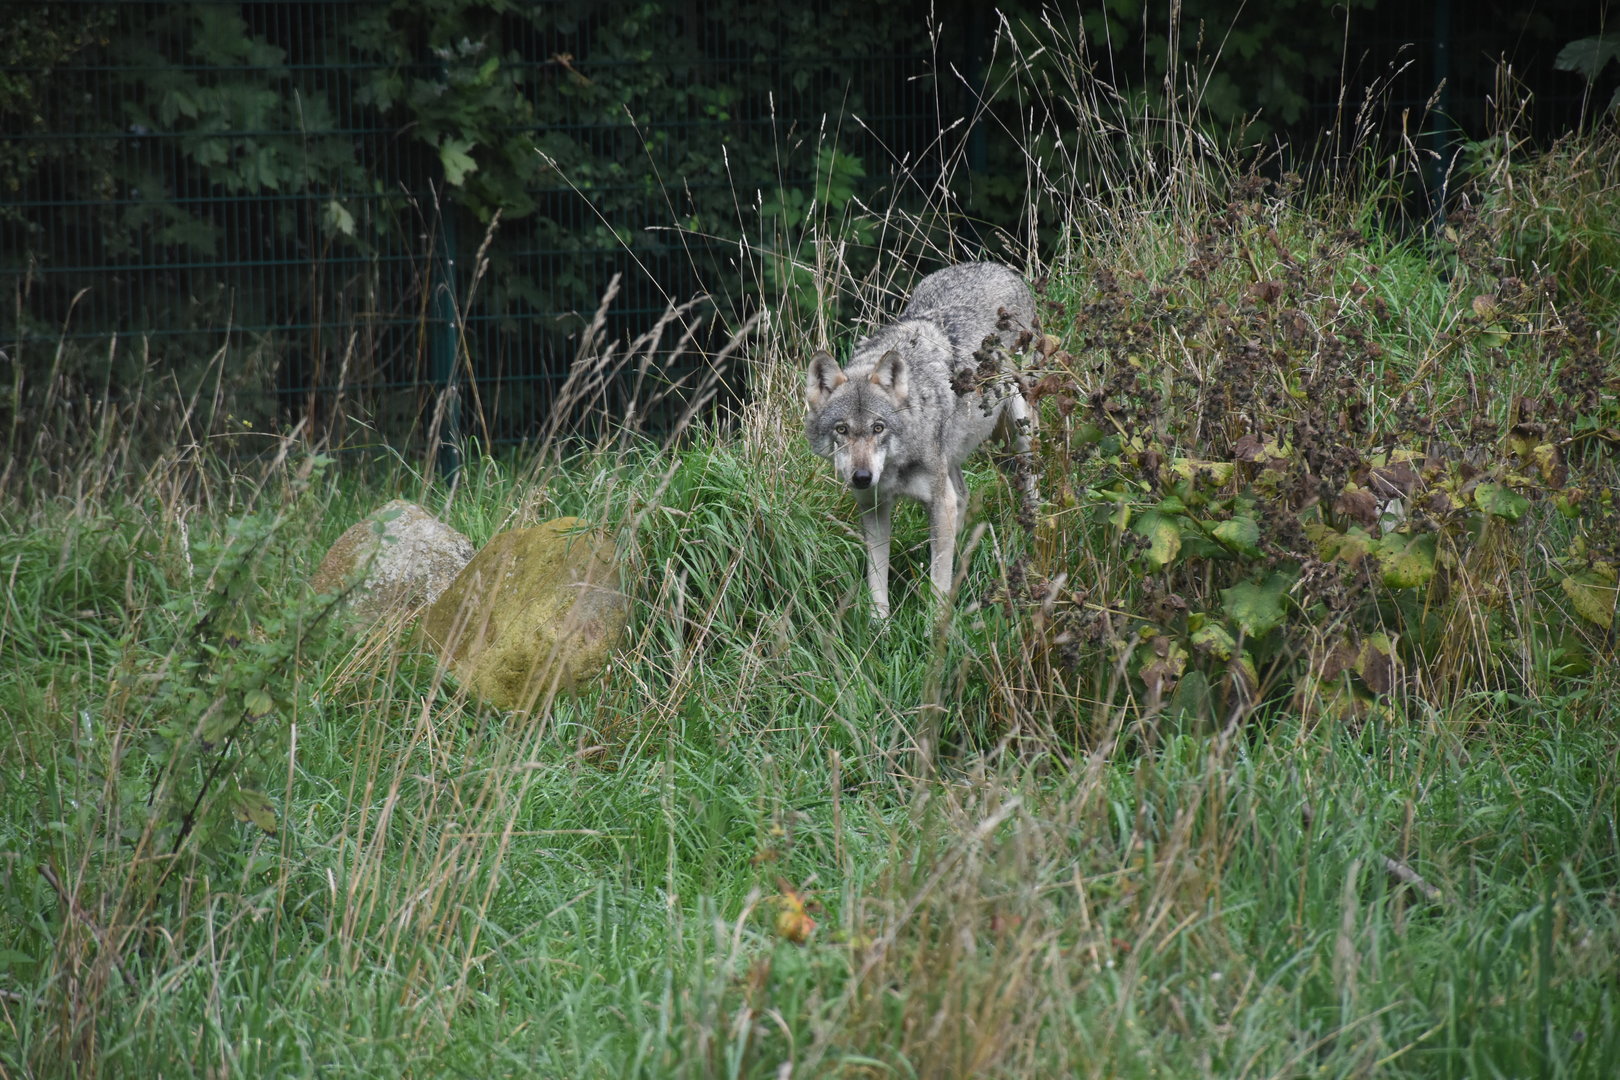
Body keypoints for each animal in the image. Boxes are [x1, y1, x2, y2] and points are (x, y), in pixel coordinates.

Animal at [805, 262, 1038, 618]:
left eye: (878, 428)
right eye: (842, 430)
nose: (862, 477)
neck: (896, 466)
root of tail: (996, 266)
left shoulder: (939, 503)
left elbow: (937, 588)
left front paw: (936, 629)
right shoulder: (874, 508)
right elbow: (876, 582)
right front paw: (880, 626)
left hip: (1019, 431)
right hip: (954, 462)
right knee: (963, 497)